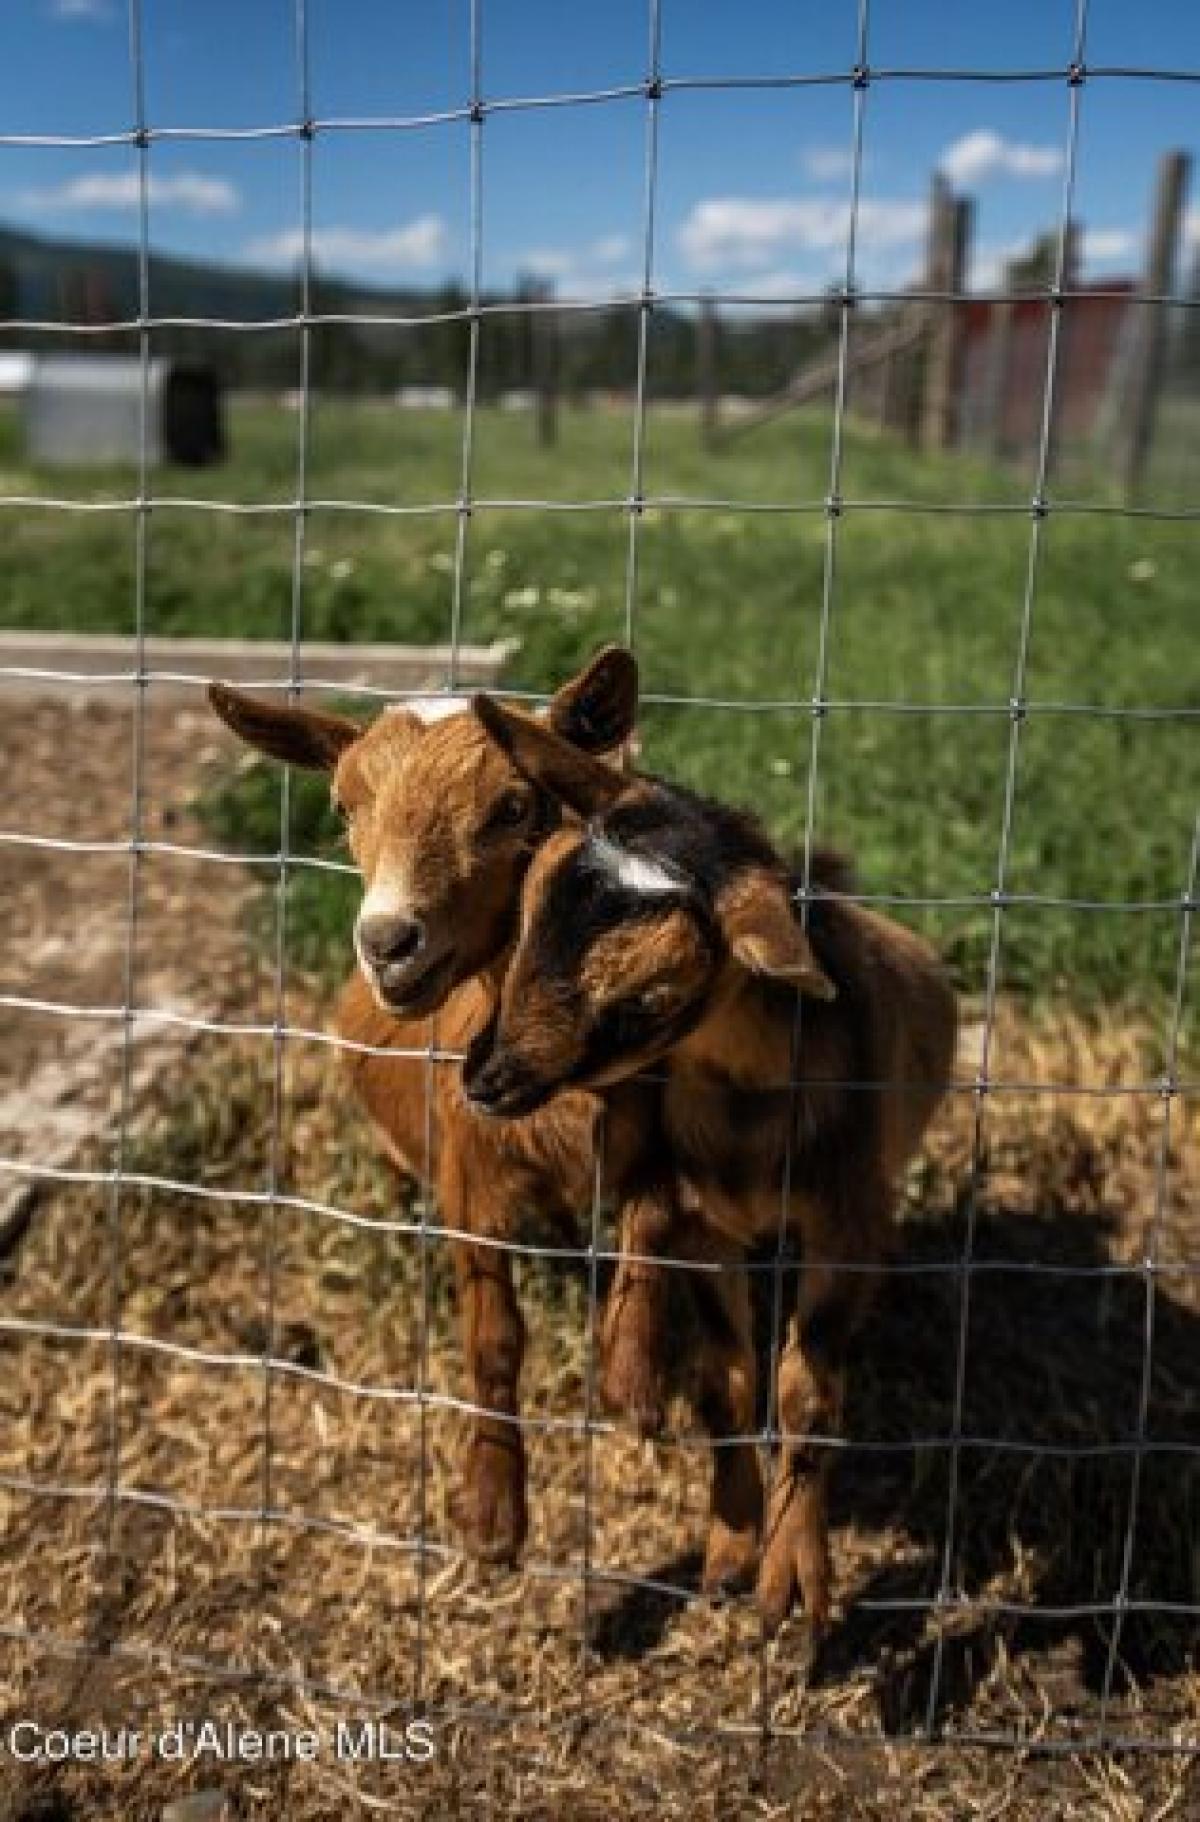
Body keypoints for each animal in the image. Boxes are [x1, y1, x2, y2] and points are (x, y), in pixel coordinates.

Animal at [464, 699, 961, 1639]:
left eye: (650, 1000)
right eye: (530, 910)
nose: (485, 1076)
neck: (747, 1117)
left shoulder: (848, 1225)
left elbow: (806, 1392)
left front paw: (791, 1582)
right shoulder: (707, 1224)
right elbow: (724, 1382)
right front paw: (729, 1547)